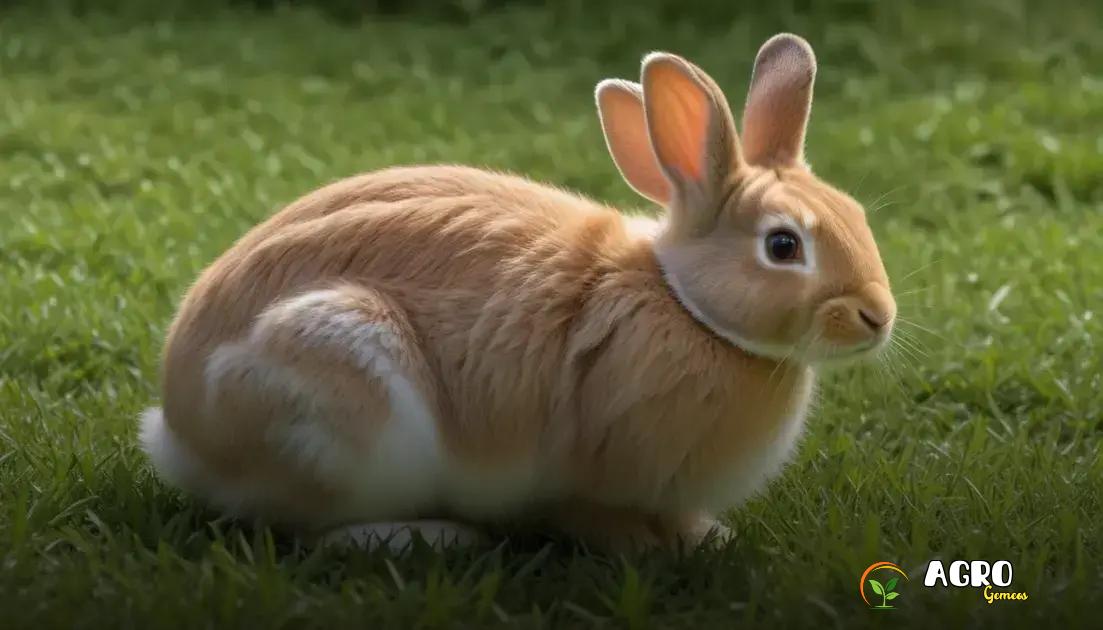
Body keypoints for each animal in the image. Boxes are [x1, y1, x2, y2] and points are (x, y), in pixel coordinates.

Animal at [140, 33, 896, 552]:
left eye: (855, 213)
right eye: (782, 246)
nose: (878, 318)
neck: (685, 303)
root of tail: (181, 432)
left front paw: (709, 537)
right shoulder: (590, 477)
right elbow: (596, 516)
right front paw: (657, 549)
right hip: (341, 398)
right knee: (302, 527)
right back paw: (429, 538)